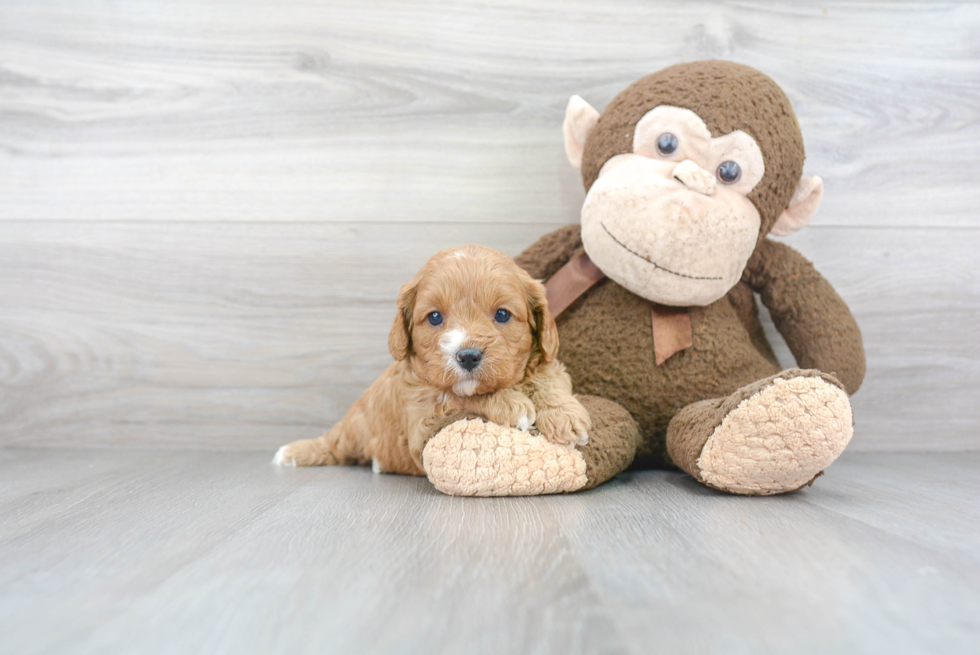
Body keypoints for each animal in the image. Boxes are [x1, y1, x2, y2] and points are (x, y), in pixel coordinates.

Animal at [276, 246, 592, 476]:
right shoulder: (422, 422)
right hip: (354, 429)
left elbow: (548, 377)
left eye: (502, 314)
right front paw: (510, 404)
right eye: (435, 317)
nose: (468, 356)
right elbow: (458, 397)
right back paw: (293, 453)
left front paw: (565, 416)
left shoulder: (548, 363)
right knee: (334, 445)